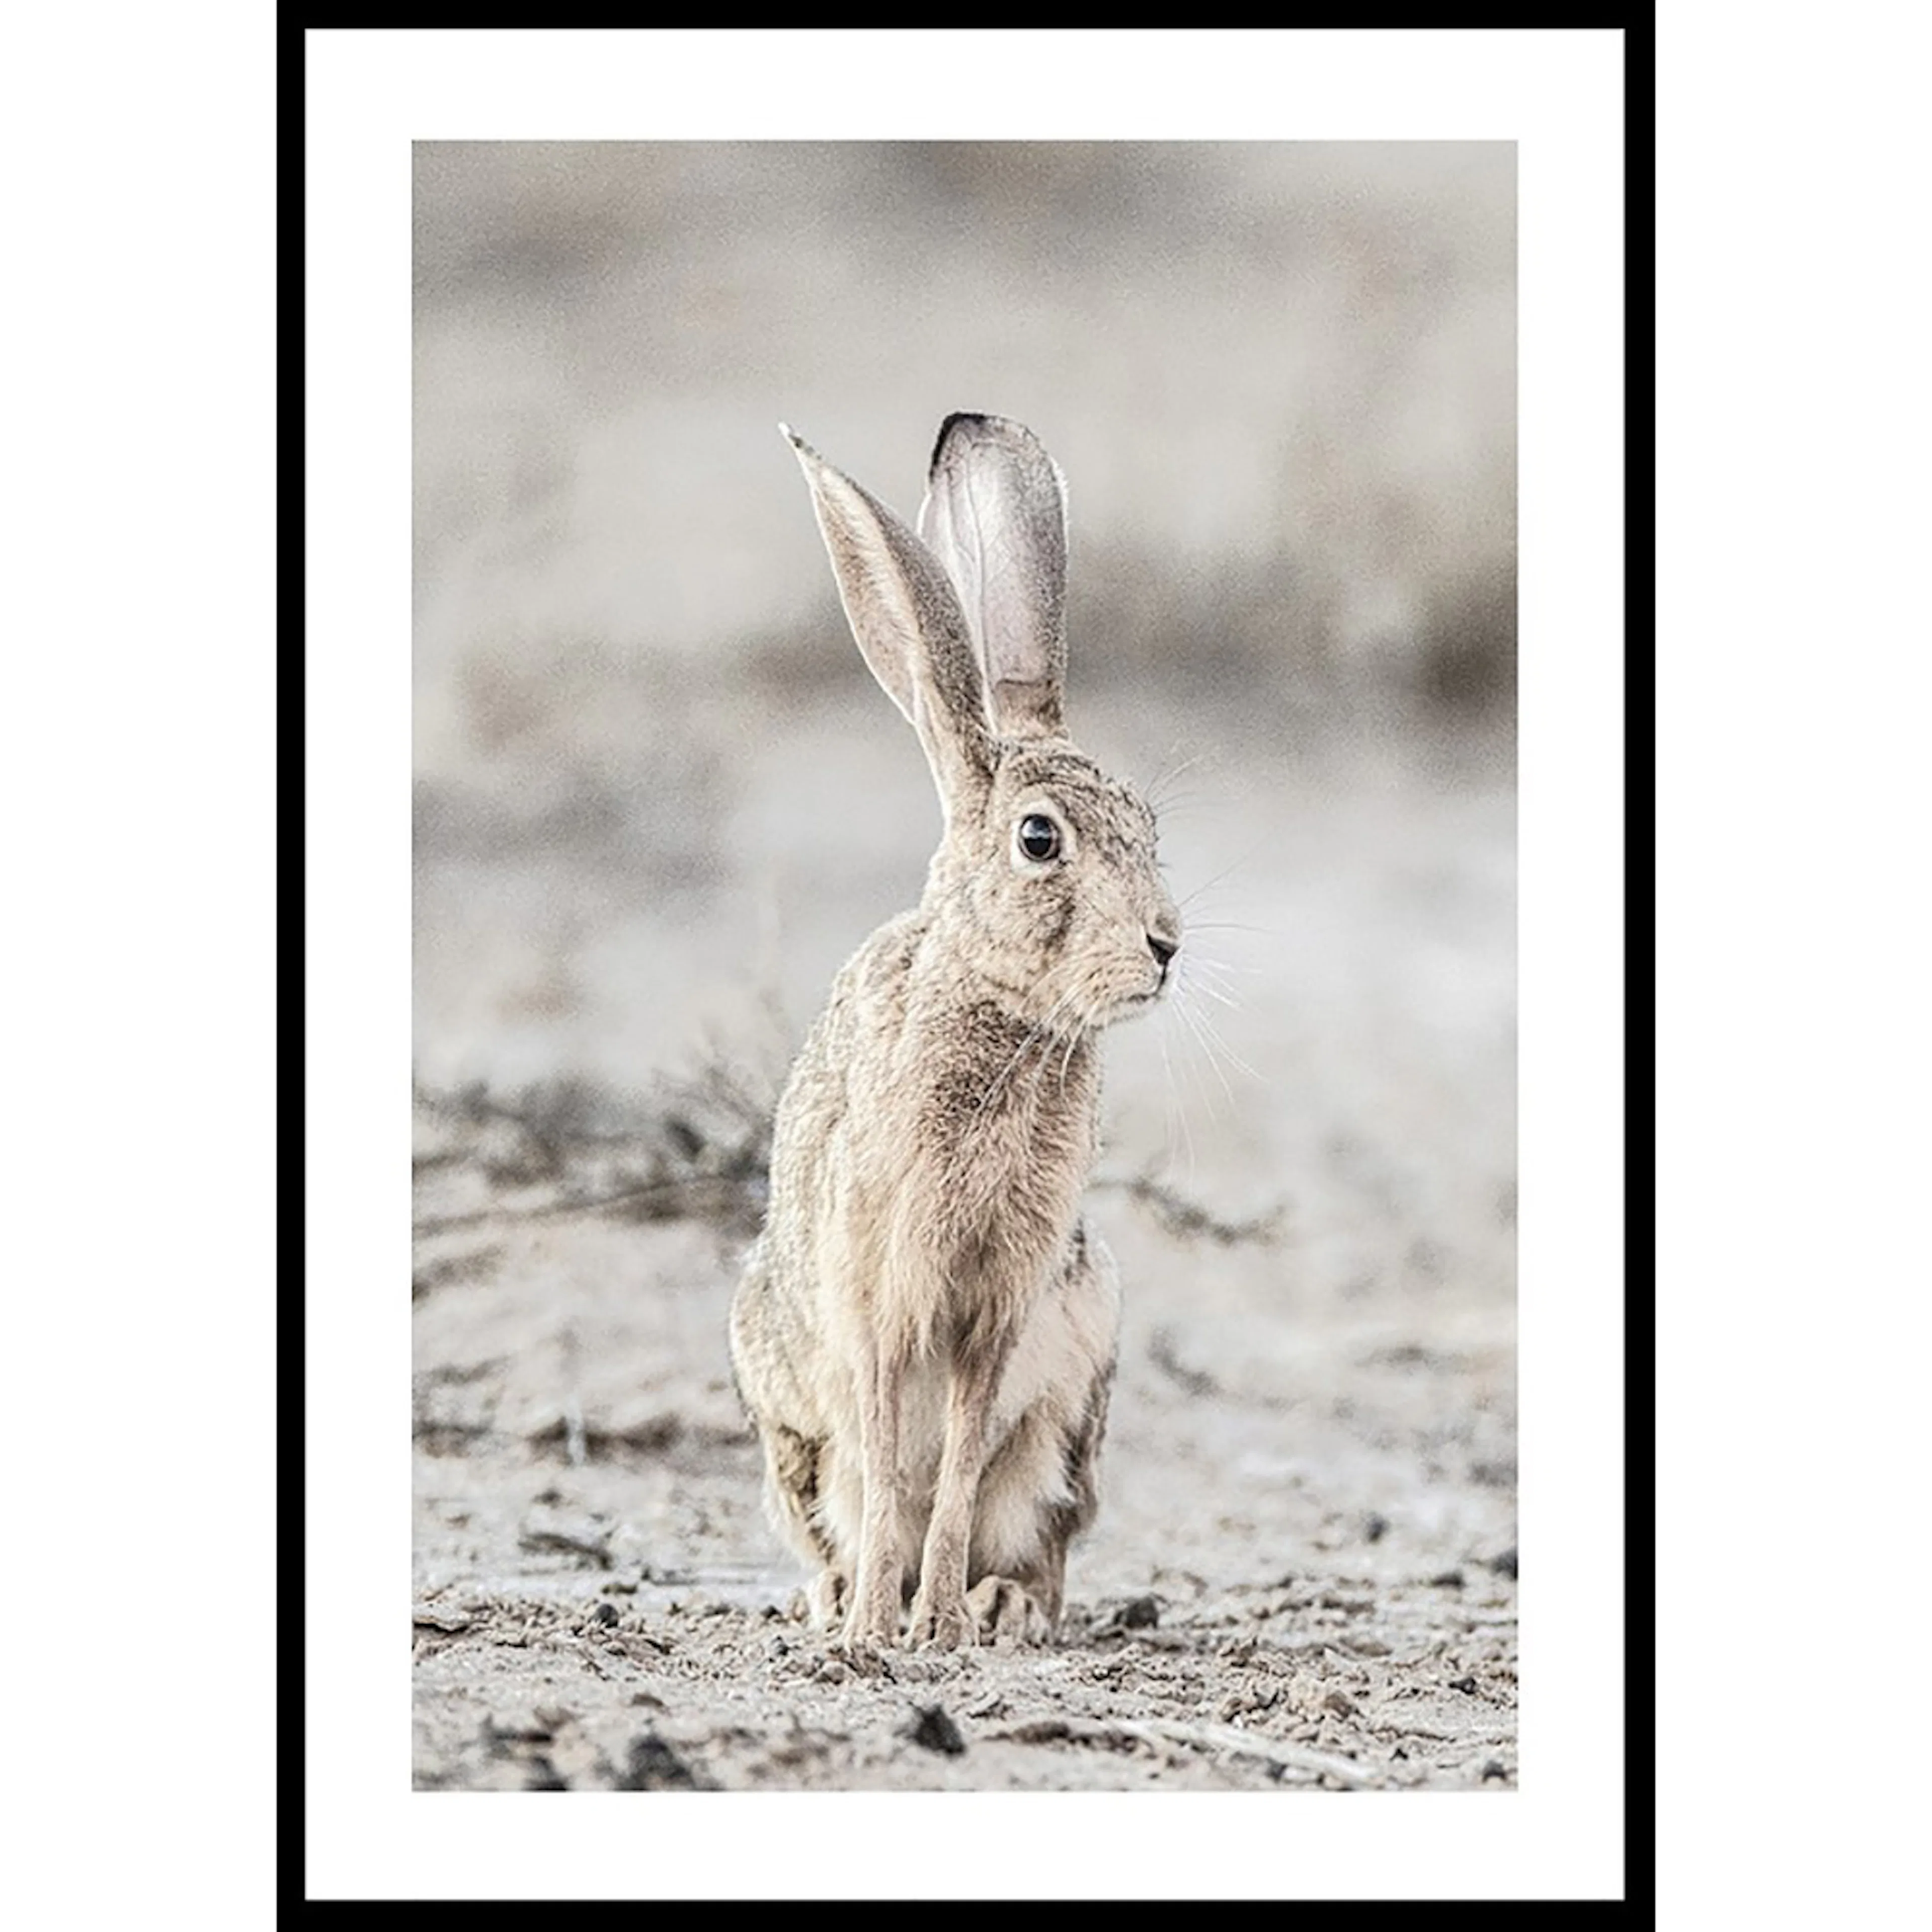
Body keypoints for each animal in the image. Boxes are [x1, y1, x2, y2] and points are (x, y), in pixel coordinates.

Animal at [728, 412, 1181, 1650]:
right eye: (1040, 840)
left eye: (1149, 827)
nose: (1166, 947)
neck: (1002, 1017)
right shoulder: (883, 1294)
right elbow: (894, 1460)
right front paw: (881, 1628)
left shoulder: (1002, 1308)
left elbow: (963, 1462)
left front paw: (937, 1622)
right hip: (785, 1411)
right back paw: (838, 1598)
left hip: (1079, 1397)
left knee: (1035, 1532)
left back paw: (1000, 1603)